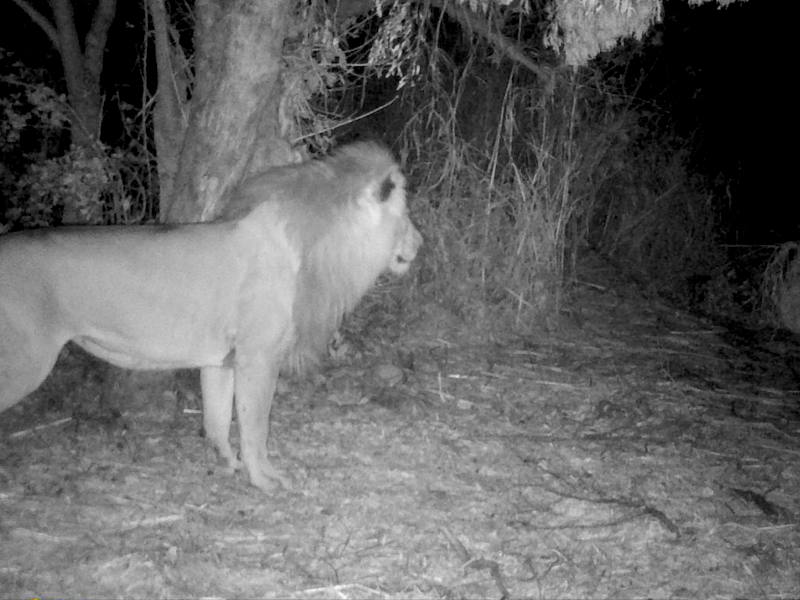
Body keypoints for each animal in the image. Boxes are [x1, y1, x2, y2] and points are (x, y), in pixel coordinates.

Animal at [0, 142, 422, 492]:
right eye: (404, 214)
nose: (421, 242)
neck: (312, 246)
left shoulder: (222, 361)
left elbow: (217, 419)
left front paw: (229, 464)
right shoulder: (258, 357)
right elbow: (255, 426)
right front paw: (265, 479)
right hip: (24, 364)